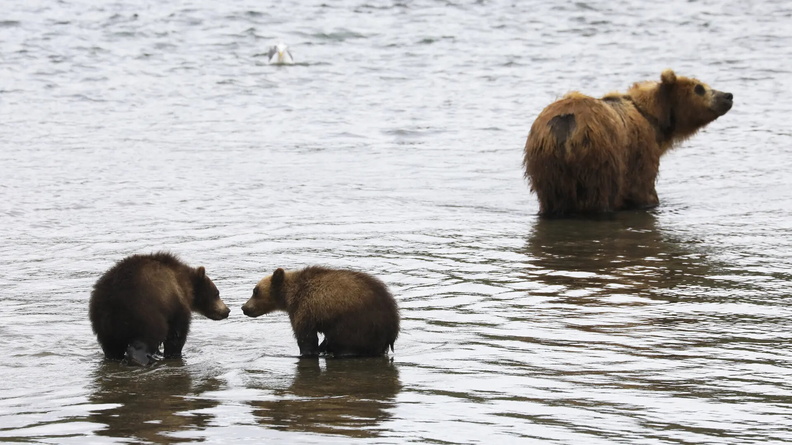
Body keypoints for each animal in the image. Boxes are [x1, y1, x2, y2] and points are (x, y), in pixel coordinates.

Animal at [89, 252, 230, 366]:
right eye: (217, 293)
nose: (227, 310)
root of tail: (112, 298)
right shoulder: (174, 302)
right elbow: (177, 332)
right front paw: (173, 354)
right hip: (145, 312)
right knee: (150, 334)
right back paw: (143, 360)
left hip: (103, 320)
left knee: (111, 345)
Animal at [241, 266, 399, 358]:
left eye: (255, 291)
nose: (244, 307)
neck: (289, 296)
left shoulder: (304, 308)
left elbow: (306, 338)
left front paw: (307, 352)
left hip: (357, 324)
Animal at [523, 69, 733, 217]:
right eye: (699, 88)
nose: (728, 95)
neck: (653, 118)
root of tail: (566, 126)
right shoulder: (640, 150)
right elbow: (643, 187)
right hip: (599, 158)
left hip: (546, 164)